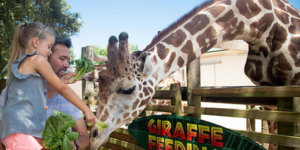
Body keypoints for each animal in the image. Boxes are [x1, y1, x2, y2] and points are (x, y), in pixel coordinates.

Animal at [89, 0, 300, 149]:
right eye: (99, 86)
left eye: (128, 89)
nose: (93, 137)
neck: (258, 25)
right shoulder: (268, 93)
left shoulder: (288, 89)